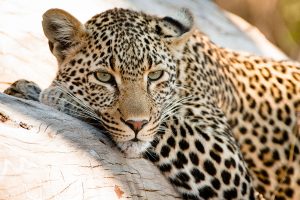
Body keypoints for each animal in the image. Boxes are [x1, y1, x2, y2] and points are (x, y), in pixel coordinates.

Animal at [4, 7, 300, 199]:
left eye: (155, 75)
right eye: (104, 77)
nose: (136, 124)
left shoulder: (231, 163)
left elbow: (170, 122)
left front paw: (59, 96)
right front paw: (27, 89)